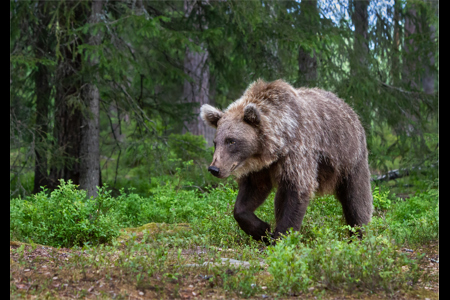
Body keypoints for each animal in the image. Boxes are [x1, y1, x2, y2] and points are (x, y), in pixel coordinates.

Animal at [200, 78, 372, 243]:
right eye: (216, 142)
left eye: (231, 141)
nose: (214, 168)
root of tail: (349, 108)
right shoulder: (260, 169)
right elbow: (249, 196)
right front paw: (262, 229)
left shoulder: (297, 153)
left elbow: (295, 193)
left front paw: (280, 237)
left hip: (350, 158)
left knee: (356, 199)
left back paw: (359, 235)